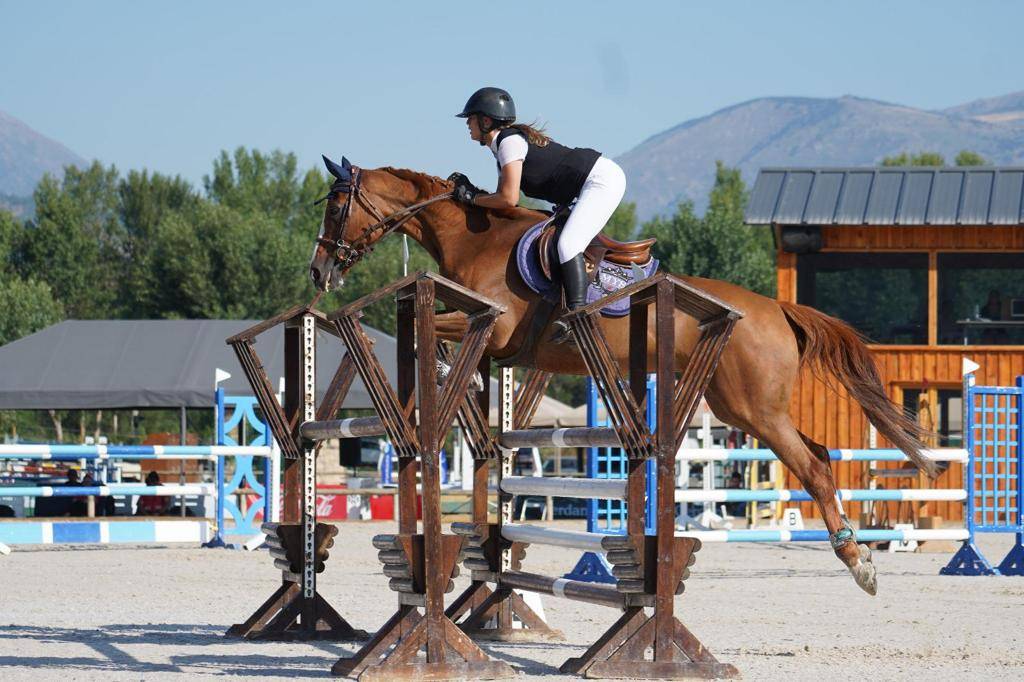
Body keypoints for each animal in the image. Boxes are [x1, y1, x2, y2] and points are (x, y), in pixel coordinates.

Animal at [309, 156, 934, 595]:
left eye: (336, 208)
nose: (318, 271)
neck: (475, 235)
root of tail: (776, 308)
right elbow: (436, 332)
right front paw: (457, 376)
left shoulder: (495, 325)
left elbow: (435, 329)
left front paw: (439, 365)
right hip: (740, 408)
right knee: (821, 453)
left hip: (755, 408)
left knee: (814, 467)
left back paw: (859, 562)